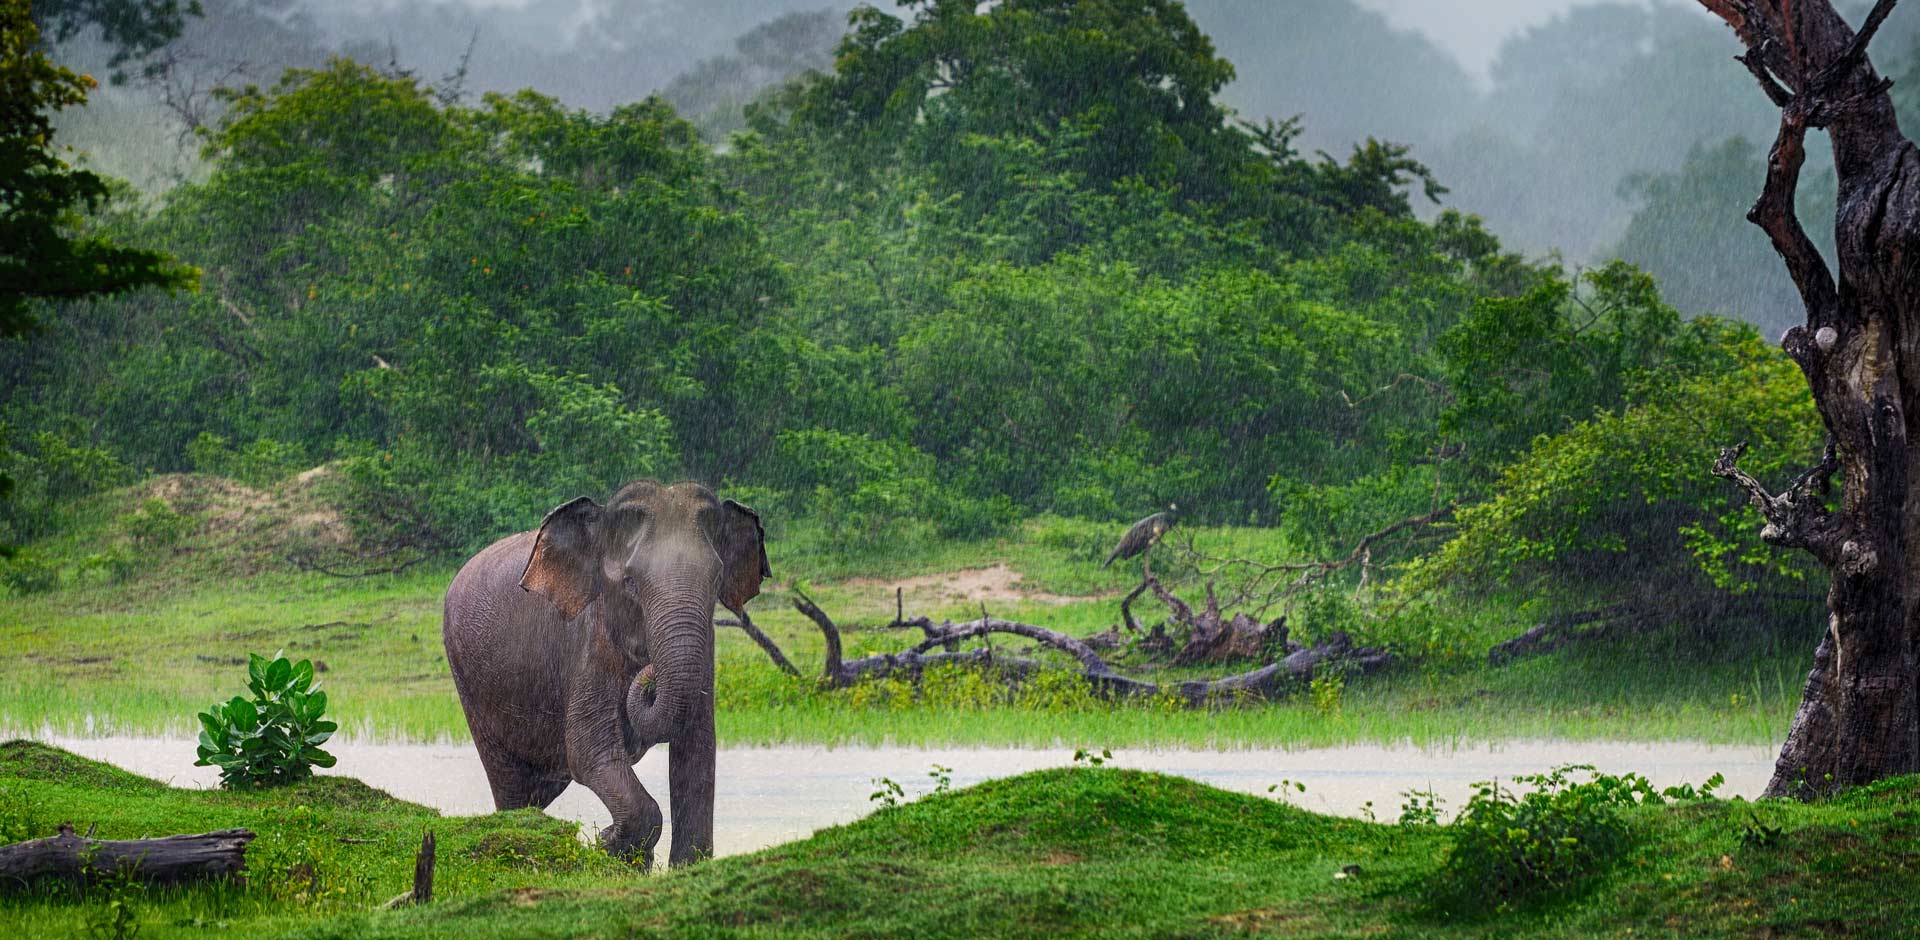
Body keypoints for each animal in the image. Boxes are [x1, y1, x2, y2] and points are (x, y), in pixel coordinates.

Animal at [441, 481, 764, 870]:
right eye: (630, 582)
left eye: (716, 579)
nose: (649, 671)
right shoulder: (588, 641)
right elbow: (588, 751)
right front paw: (608, 842)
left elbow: (697, 750)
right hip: (469, 681)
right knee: (512, 784)